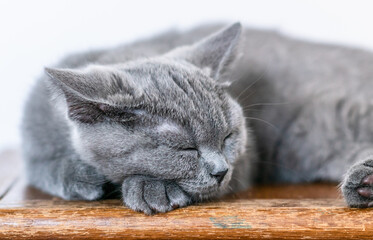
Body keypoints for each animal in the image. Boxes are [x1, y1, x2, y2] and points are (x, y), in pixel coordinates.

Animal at [20, 22, 372, 214]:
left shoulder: (247, 159)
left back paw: (364, 181)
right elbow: (41, 165)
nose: (221, 170)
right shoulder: (34, 127)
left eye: (228, 137)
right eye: (186, 149)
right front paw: (82, 174)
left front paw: (151, 187)